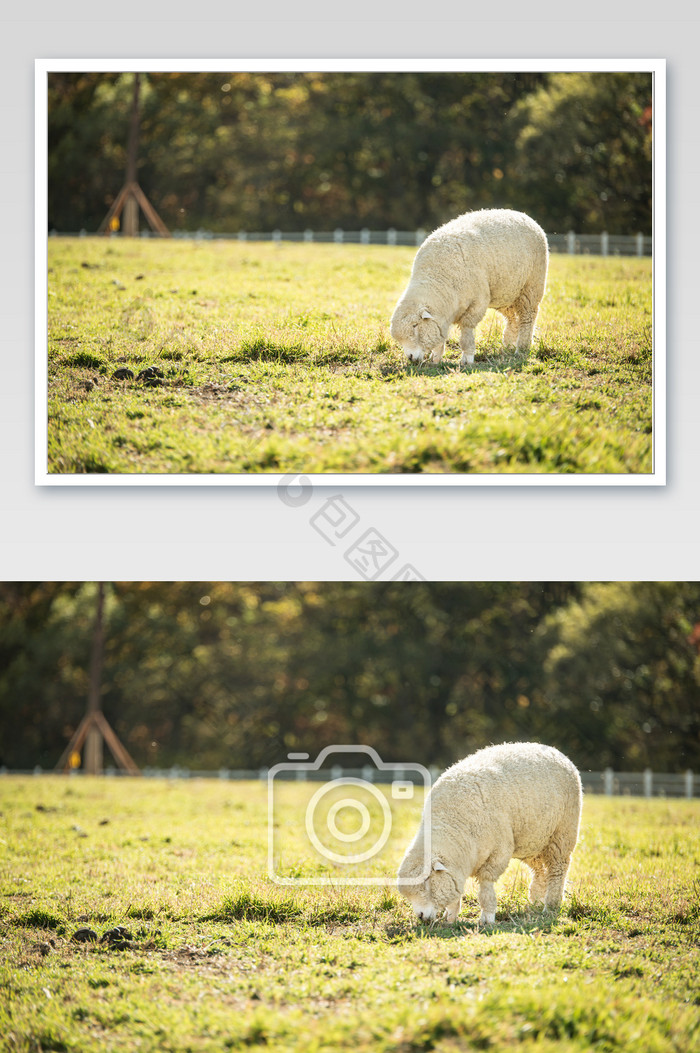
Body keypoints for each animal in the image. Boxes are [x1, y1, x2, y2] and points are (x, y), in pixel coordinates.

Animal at [387, 208, 547, 366]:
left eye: (415, 325)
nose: (410, 357)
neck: (437, 276)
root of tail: (524, 215)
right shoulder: (444, 314)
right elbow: (440, 336)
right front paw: (436, 358)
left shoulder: (476, 304)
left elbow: (467, 333)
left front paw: (467, 358)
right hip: (506, 294)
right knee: (512, 319)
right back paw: (508, 345)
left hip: (532, 287)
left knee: (527, 317)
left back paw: (522, 349)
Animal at [395, 745, 581, 926]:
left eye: (427, 880)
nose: (420, 916)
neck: (452, 820)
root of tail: (557, 752)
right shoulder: (458, 865)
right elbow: (455, 889)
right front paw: (450, 916)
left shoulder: (497, 853)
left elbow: (486, 886)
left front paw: (487, 917)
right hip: (533, 841)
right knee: (540, 870)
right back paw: (536, 901)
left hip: (563, 832)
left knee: (558, 868)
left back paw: (551, 905)